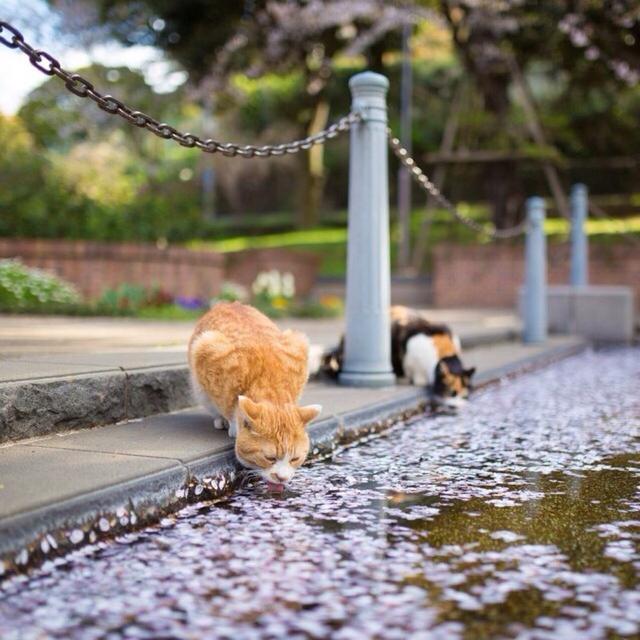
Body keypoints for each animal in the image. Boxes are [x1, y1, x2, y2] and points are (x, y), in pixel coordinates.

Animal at [189, 302, 320, 488]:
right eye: (270, 458)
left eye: (294, 459)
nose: (282, 478)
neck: (270, 385)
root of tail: (228, 303)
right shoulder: (209, 352)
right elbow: (228, 406)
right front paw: (233, 424)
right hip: (199, 380)